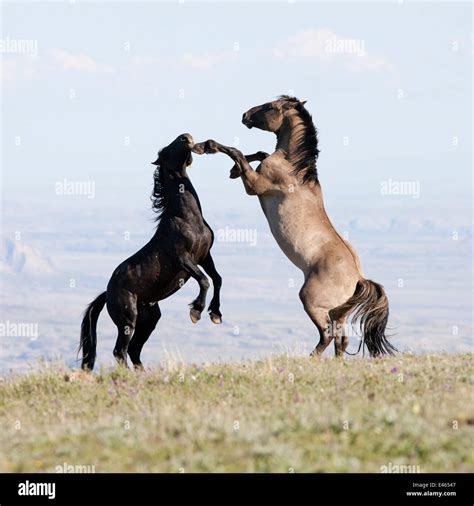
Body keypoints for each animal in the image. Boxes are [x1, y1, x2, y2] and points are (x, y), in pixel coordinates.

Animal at [79, 133, 222, 372]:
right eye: (166, 149)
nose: (186, 137)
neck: (186, 217)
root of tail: (107, 293)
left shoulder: (205, 256)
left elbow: (217, 279)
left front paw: (215, 314)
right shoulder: (184, 258)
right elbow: (204, 280)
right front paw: (196, 312)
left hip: (150, 318)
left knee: (134, 350)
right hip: (128, 320)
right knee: (120, 351)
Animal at [193, 95, 396, 356]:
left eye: (270, 106)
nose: (245, 115)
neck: (293, 167)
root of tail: (358, 279)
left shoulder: (255, 186)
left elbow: (236, 151)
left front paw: (208, 147)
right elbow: (258, 153)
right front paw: (233, 169)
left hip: (311, 302)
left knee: (327, 335)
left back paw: (310, 358)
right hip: (339, 312)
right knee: (341, 340)